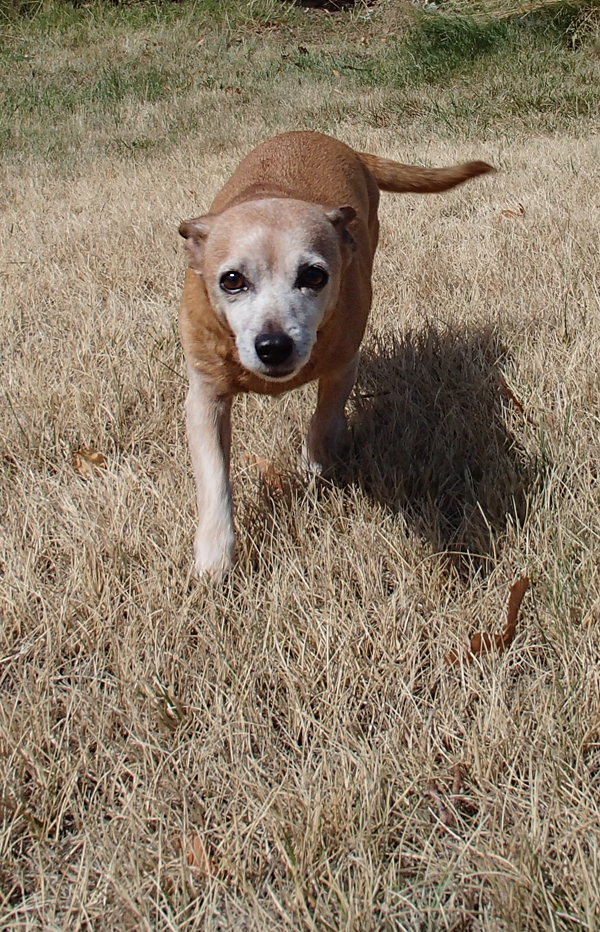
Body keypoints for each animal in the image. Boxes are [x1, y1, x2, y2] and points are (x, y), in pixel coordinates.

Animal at [178, 131, 494, 579]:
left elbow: (323, 419)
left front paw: (315, 464)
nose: (273, 346)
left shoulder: (344, 365)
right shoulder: (205, 398)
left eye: (314, 275)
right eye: (231, 280)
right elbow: (214, 479)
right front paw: (215, 557)